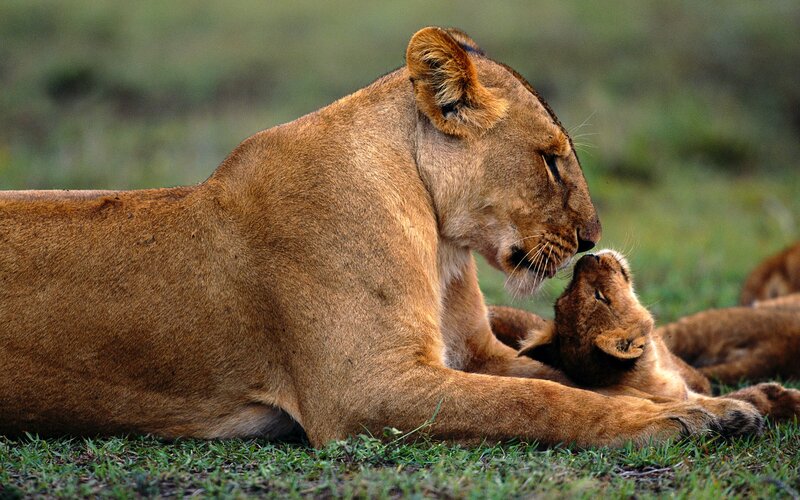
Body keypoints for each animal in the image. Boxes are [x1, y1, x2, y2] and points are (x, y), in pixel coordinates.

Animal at [0, 27, 761, 447]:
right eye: (550, 159)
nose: (590, 240)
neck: (439, 241)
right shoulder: (365, 388)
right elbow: (543, 398)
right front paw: (664, 424)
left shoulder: (472, 353)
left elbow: (574, 380)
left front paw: (716, 407)